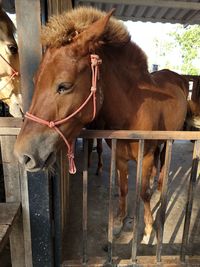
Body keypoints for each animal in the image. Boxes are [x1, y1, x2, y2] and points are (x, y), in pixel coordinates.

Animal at [14, 7, 188, 244]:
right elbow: (123, 189)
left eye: (64, 86)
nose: (23, 155)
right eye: (35, 80)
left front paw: (147, 230)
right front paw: (120, 222)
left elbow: (142, 193)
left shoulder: (145, 156)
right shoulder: (120, 157)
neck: (131, 111)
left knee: (161, 165)